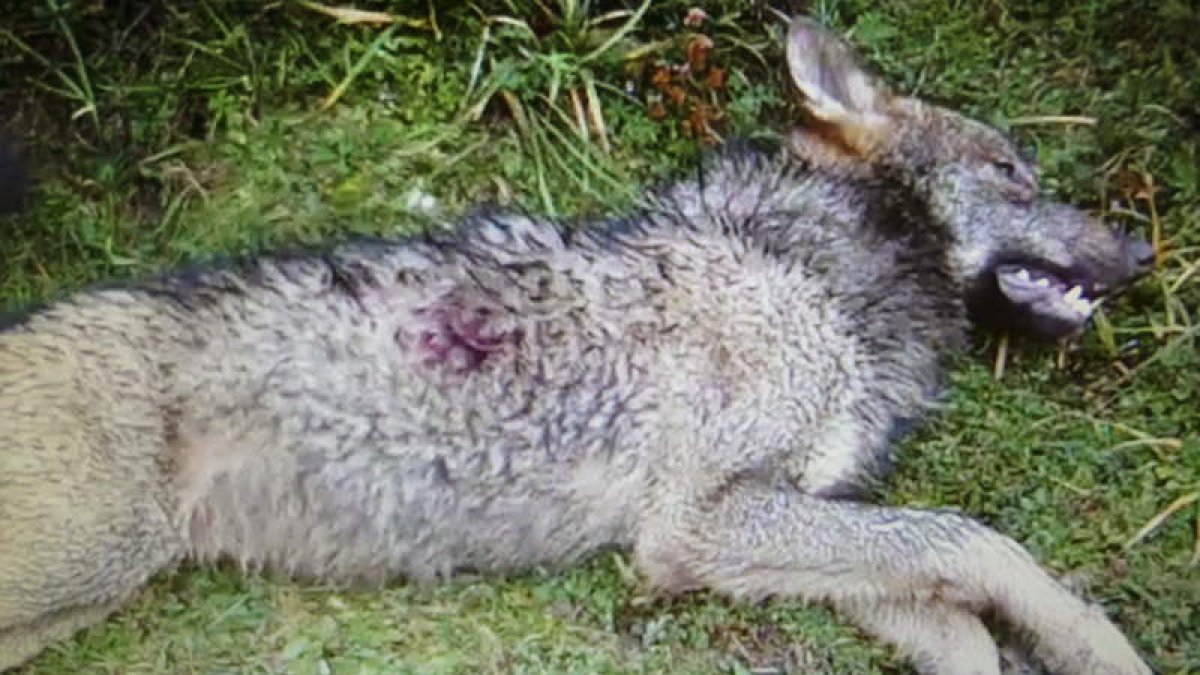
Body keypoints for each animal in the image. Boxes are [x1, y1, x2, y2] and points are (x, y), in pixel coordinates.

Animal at [0, 15, 1161, 672]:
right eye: (1014, 173)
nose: (1147, 249)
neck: (809, 267)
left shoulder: (773, 522)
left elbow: (953, 614)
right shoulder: (693, 525)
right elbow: (980, 544)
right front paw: (1098, 650)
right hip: (92, 563)